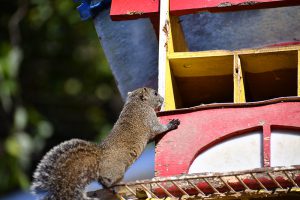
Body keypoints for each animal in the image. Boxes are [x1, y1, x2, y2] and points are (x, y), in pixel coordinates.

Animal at [31, 87, 179, 200]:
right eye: (155, 93)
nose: (163, 99)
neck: (136, 103)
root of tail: (98, 158)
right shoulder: (149, 118)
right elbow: (158, 129)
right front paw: (172, 124)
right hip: (116, 170)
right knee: (105, 181)